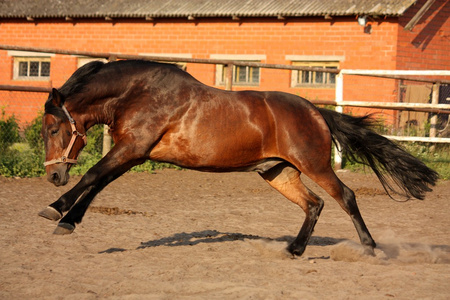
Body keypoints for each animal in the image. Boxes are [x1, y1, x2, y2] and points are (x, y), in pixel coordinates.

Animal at [40, 59, 438, 256]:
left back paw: (370, 248)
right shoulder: (134, 153)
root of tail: (316, 112)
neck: (139, 92)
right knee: (314, 204)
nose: (53, 176)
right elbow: (99, 182)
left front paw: (55, 209)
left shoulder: (133, 147)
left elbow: (92, 176)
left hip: (314, 165)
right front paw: (68, 220)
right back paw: (293, 250)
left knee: (346, 197)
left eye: (54, 129)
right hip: (278, 173)